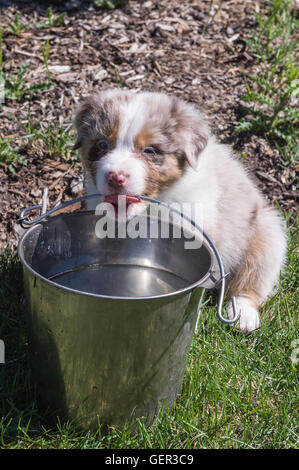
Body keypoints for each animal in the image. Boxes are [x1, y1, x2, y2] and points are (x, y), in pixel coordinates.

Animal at [74, 88, 288, 334]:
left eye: (150, 150)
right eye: (101, 145)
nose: (115, 177)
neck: (156, 202)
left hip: (266, 236)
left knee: (252, 281)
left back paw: (244, 316)